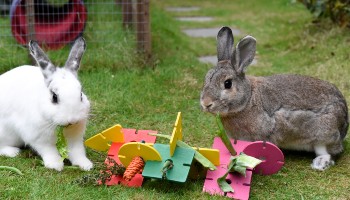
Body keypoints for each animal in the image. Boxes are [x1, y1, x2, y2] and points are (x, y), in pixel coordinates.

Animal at [0, 37, 93, 170]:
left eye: (81, 95)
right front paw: (56, 165)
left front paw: (85, 165)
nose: (72, 120)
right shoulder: (39, 138)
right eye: (54, 97)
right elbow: (49, 151)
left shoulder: (75, 138)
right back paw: (13, 152)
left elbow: (77, 151)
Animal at [201, 26, 348, 170]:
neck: (248, 99)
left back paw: (320, 163)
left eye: (227, 84)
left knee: (327, 152)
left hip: (323, 133)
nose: (206, 103)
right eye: (206, 78)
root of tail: (345, 123)